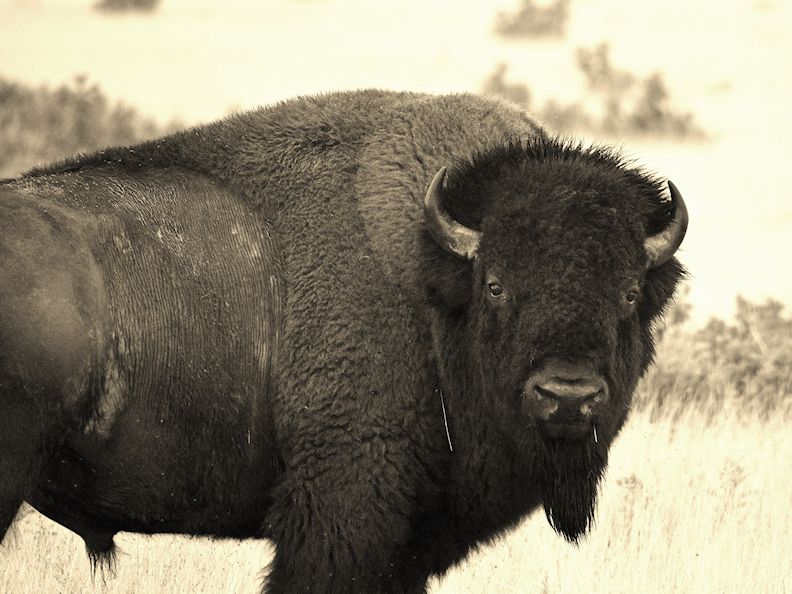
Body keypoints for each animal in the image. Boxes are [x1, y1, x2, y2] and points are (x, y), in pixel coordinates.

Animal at [0, 90, 688, 588]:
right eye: (495, 285)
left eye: (630, 293)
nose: (568, 396)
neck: (433, 286)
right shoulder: (340, 517)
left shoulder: (406, 546)